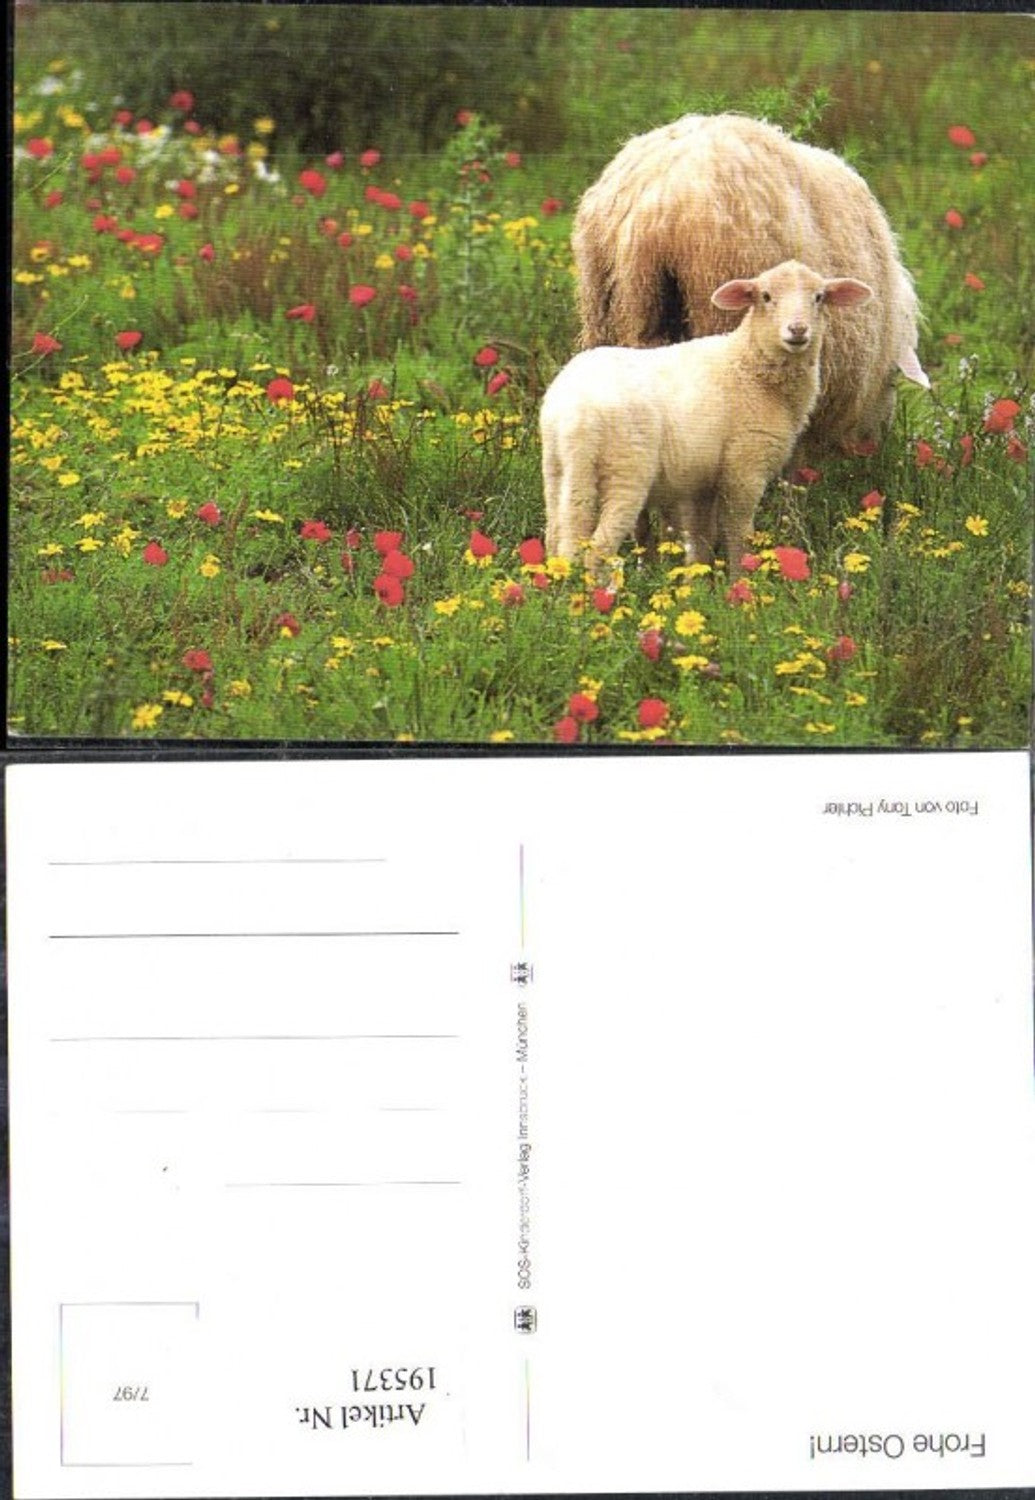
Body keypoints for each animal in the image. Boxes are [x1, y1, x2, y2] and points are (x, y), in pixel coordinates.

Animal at [541, 259, 872, 580]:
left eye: (819, 297)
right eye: (765, 296)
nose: (798, 330)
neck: (749, 365)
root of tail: (573, 412)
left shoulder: (701, 482)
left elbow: (700, 540)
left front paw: (697, 583)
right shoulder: (745, 467)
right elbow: (738, 533)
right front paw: (741, 584)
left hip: (560, 470)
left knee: (559, 540)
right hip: (625, 469)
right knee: (597, 548)